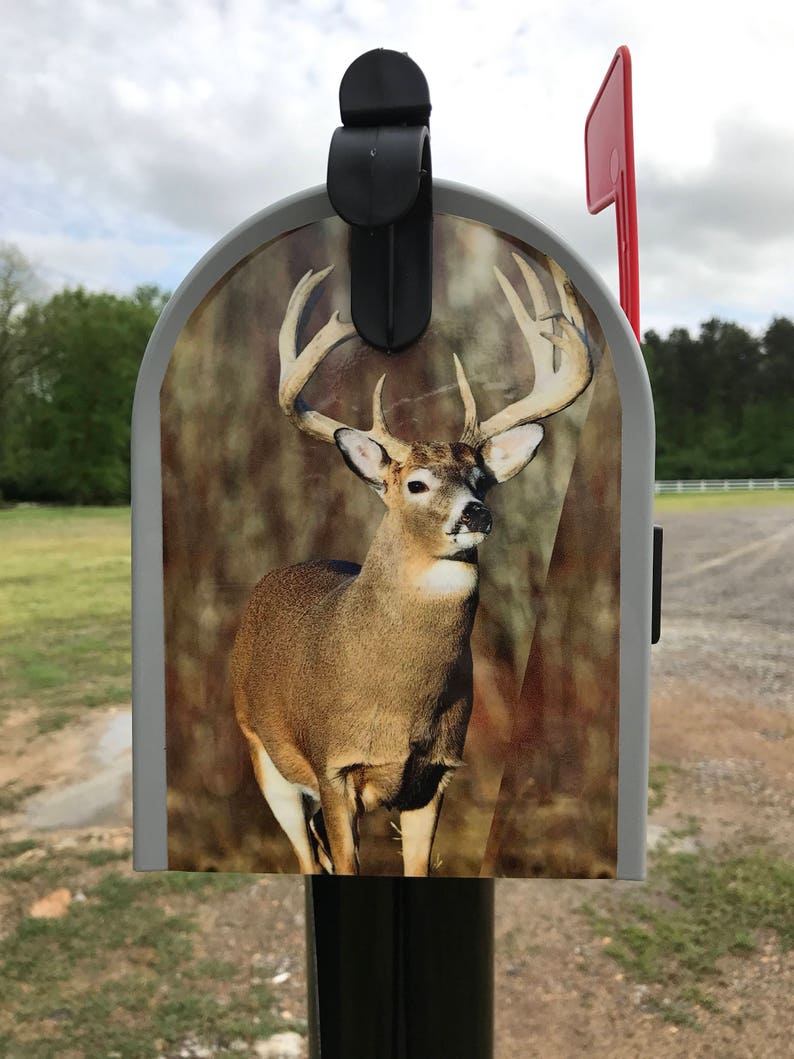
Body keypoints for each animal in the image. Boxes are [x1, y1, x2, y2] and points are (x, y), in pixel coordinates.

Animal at [231, 251, 593, 877]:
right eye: (417, 483)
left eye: (481, 480)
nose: (476, 512)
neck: (399, 704)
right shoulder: (333, 767)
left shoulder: (436, 775)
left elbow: (418, 867)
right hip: (262, 752)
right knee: (307, 859)